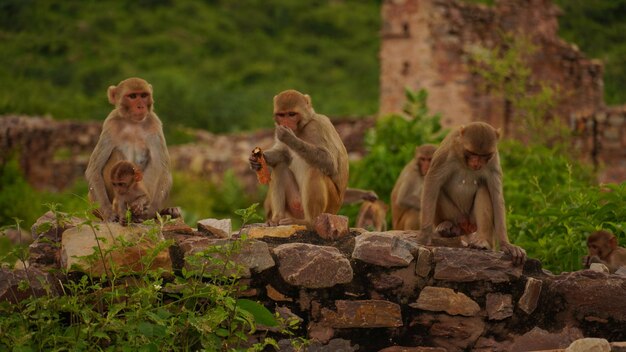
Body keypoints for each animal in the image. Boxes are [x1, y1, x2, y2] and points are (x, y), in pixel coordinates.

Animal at [85, 77, 172, 221]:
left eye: (143, 95)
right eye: (132, 96)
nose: (140, 106)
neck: (133, 122)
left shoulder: (154, 124)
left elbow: (164, 169)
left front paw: (151, 211)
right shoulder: (110, 124)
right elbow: (94, 169)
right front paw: (108, 212)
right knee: (116, 154)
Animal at [246, 88, 348, 226]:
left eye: (292, 114)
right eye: (282, 115)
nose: (285, 123)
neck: (302, 127)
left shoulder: (318, 125)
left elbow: (330, 162)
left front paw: (289, 137)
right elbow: (283, 154)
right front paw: (257, 160)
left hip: (330, 207)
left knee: (315, 170)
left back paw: (309, 222)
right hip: (295, 205)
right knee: (281, 167)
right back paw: (276, 218)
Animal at [420, 122, 528, 266]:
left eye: (484, 155)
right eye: (472, 153)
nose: (476, 163)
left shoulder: (494, 160)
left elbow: (496, 196)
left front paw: (507, 245)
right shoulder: (446, 152)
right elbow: (433, 181)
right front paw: (425, 234)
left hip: (472, 220)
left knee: (484, 189)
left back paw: (482, 241)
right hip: (457, 216)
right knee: (439, 189)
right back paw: (447, 225)